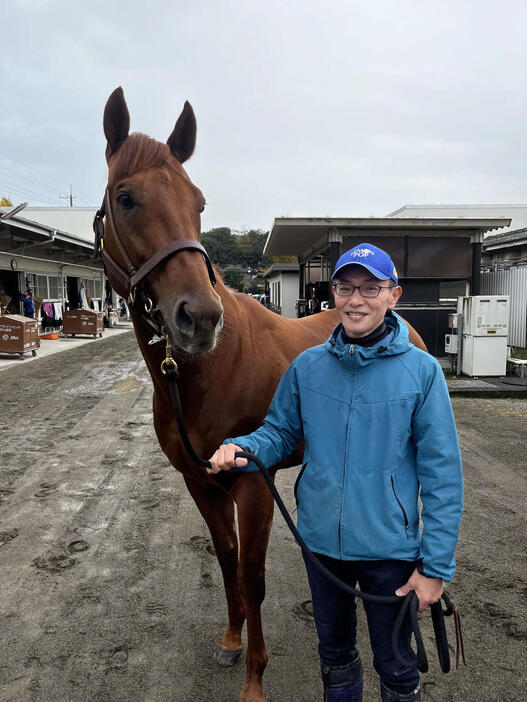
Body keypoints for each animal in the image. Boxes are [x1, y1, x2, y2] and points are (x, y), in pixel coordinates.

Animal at [100, 88, 428, 702]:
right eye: (124, 197)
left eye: (199, 202)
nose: (200, 317)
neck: (206, 372)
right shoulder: (202, 480)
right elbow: (227, 560)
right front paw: (231, 641)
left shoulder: (253, 482)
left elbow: (252, 577)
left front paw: (254, 679)